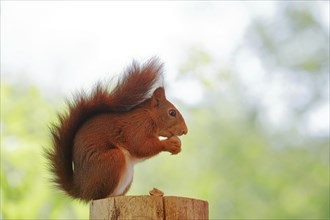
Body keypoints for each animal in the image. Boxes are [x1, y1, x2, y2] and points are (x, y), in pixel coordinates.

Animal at [45, 58, 188, 201]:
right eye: (172, 113)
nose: (185, 131)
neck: (149, 115)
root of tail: (82, 191)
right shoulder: (137, 127)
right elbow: (141, 146)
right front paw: (170, 144)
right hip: (112, 161)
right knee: (98, 195)